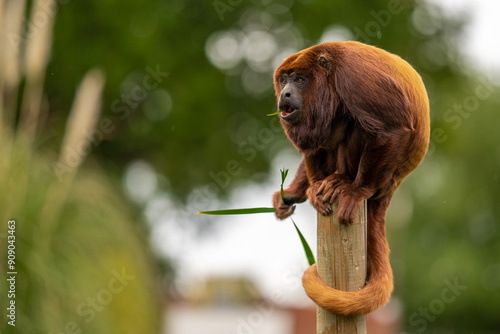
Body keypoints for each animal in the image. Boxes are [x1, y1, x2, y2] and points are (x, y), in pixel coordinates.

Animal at [272, 41, 432, 316]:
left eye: (300, 80)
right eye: (284, 81)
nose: (286, 94)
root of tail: (390, 189)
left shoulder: (354, 78)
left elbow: (392, 129)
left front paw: (357, 192)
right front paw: (291, 194)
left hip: (380, 179)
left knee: (355, 122)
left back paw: (343, 182)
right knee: (319, 135)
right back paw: (314, 188)